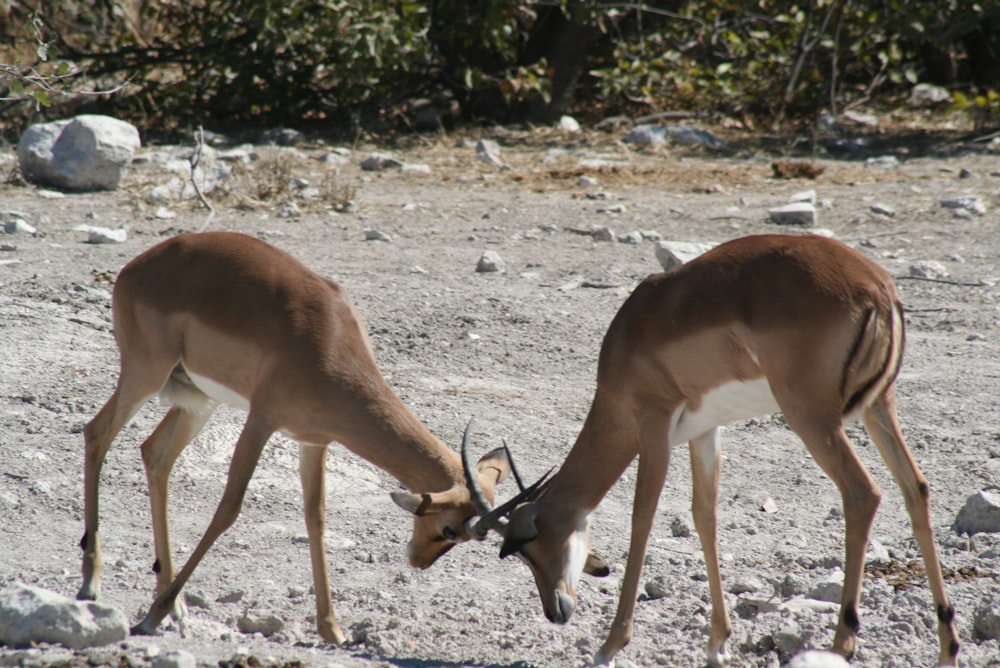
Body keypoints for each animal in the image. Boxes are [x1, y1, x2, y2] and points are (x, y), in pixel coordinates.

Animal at [79, 230, 536, 640]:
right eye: (450, 530)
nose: (418, 562)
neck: (330, 344)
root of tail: (137, 266)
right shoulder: (261, 421)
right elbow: (228, 508)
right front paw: (150, 617)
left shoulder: (314, 441)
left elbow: (316, 519)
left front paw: (333, 630)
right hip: (146, 374)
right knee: (96, 433)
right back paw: (95, 587)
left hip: (197, 399)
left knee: (155, 454)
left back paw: (174, 609)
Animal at [464, 235, 956, 668]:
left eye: (530, 546)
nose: (556, 611)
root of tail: (879, 287)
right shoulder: (704, 432)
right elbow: (705, 517)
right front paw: (717, 645)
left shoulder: (653, 427)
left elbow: (642, 519)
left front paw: (610, 645)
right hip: (879, 407)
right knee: (916, 488)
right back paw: (947, 647)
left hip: (812, 417)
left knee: (863, 494)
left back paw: (841, 645)